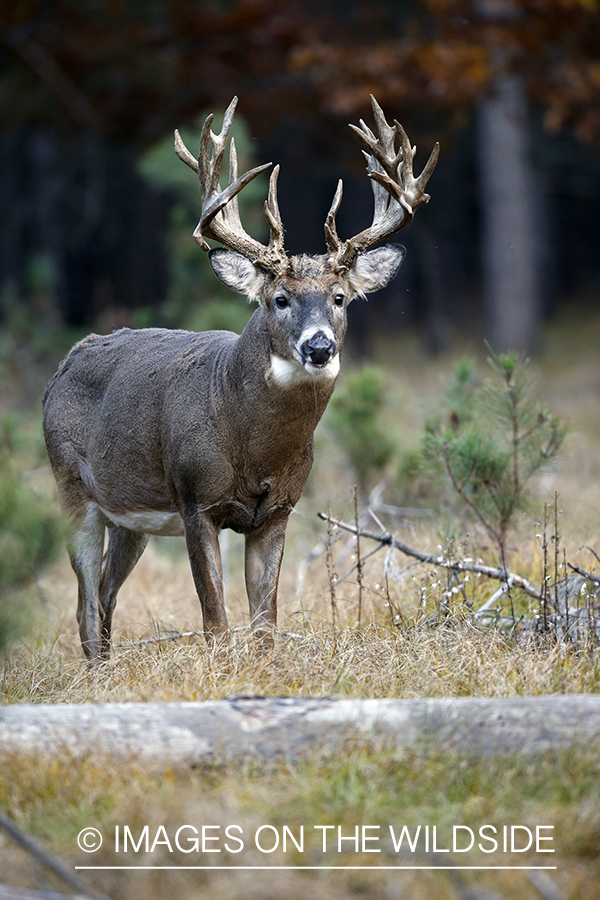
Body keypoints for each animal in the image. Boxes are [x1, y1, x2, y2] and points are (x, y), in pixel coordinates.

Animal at [41, 96, 436, 660]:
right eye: (280, 299)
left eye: (340, 298)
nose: (319, 347)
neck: (253, 446)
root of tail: (64, 365)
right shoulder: (195, 499)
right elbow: (216, 621)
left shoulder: (277, 511)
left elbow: (265, 623)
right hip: (73, 487)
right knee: (85, 603)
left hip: (131, 517)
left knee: (105, 594)